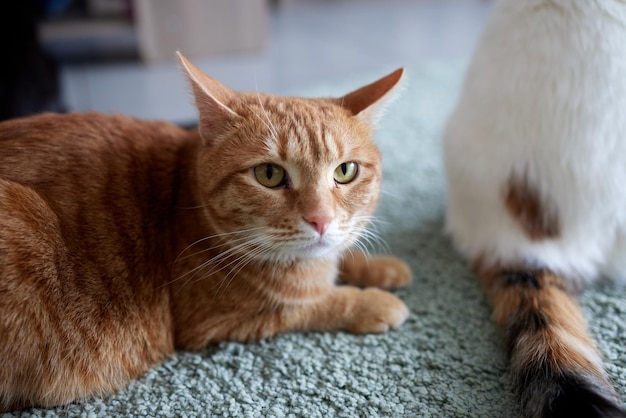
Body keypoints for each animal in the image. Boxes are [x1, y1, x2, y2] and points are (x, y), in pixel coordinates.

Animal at [0, 53, 410, 412]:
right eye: (269, 174)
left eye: (345, 171)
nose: (320, 220)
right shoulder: (217, 321)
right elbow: (310, 305)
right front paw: (373, 302)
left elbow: (344, 255)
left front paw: (382, 267)